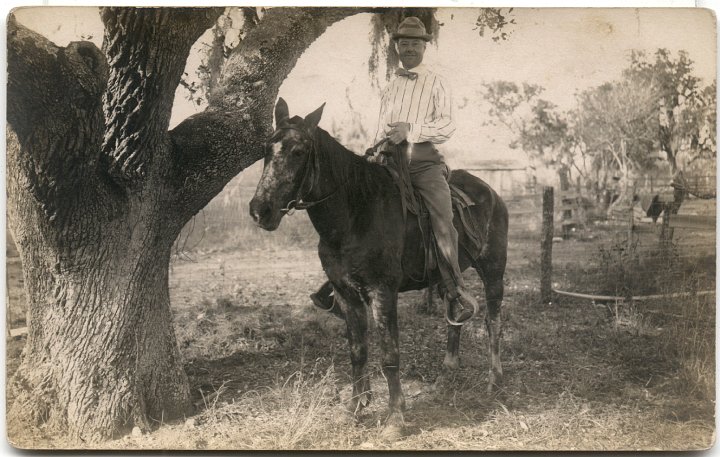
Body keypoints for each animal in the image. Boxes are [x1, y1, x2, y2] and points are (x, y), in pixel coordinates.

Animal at [250, 98, 510, 436]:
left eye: (298, 151)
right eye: (266, 149)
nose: (260, 210)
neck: (356, 212)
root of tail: (491, 193)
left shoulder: (383, 292)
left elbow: (389, 354)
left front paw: (395, 417)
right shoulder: (346, 294)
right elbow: (357, 352)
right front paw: (354, 409)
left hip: (493, 271)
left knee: (493, 322)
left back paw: (495, 382)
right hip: (446, 279)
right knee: (455, 318)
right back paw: (445, 378)